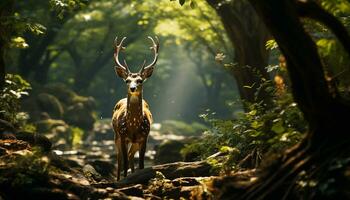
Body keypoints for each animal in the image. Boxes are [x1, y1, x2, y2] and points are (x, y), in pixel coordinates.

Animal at [111, 36, 159, 181]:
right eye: (127, 80)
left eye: (140, 80)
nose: (132, 88)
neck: (133, 125)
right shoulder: (123, 135)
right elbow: (124, 161)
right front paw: (125, 178)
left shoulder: (145, 136)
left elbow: (142, 163)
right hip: (116, 135)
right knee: (120, 158)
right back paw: (118, 179)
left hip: (135, 142)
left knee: (131, 155)